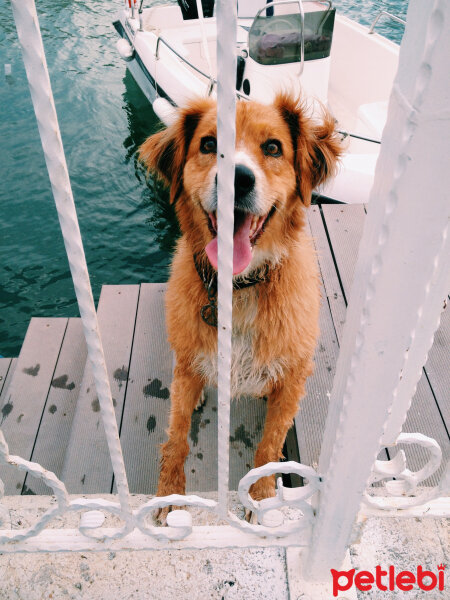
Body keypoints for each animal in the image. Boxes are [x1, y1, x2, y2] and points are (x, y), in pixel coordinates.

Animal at [141, 94, 342, 520]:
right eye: (207, 144)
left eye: (273, 148)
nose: (237, 179)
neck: (239, 288)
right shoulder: (189, 360)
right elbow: (176, 436)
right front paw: (170, 494)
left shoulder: (293, 374)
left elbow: (269, 444)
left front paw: (263, 497)